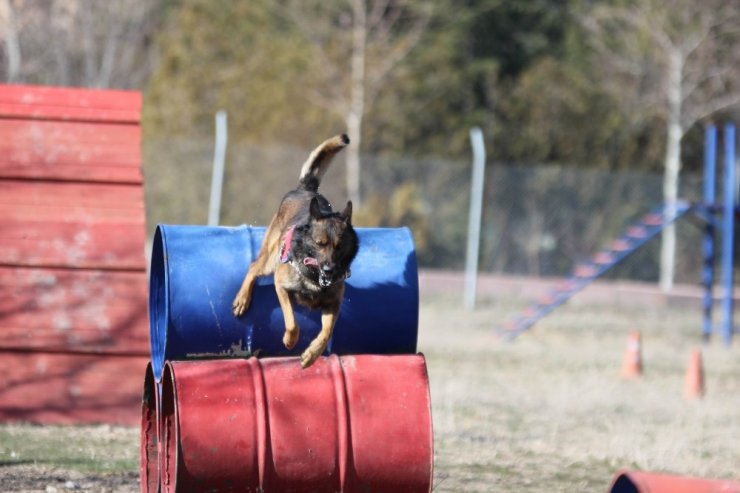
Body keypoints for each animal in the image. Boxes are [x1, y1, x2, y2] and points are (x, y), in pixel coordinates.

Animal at [231, 133, 358, 368]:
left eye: (339, 246)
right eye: (319, 243)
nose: (329, 270)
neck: (314, 278)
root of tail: (305, 190)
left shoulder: (333, 303)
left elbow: (326, 333)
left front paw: (311, 354)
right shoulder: (281, 286)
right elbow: (292, 323)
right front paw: (290, 341)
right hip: (271, 258)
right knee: (253, 267)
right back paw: (242, 299)